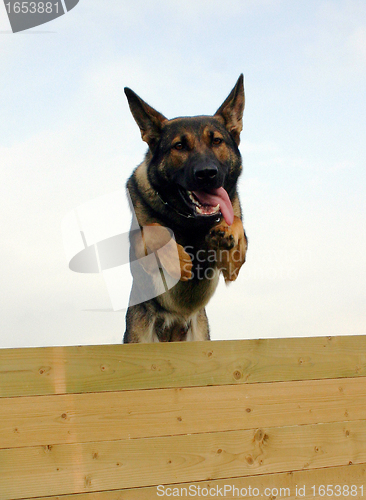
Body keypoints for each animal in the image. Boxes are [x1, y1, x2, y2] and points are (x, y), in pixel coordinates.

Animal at [124, 75, 247, 344]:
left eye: (217, 141)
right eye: (179, 146)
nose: (207, 174)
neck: (190, 221)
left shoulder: (233, 267)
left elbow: (236, 223)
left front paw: (225, 231)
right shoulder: (138, 249)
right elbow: (156, 228)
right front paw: (178, 259)